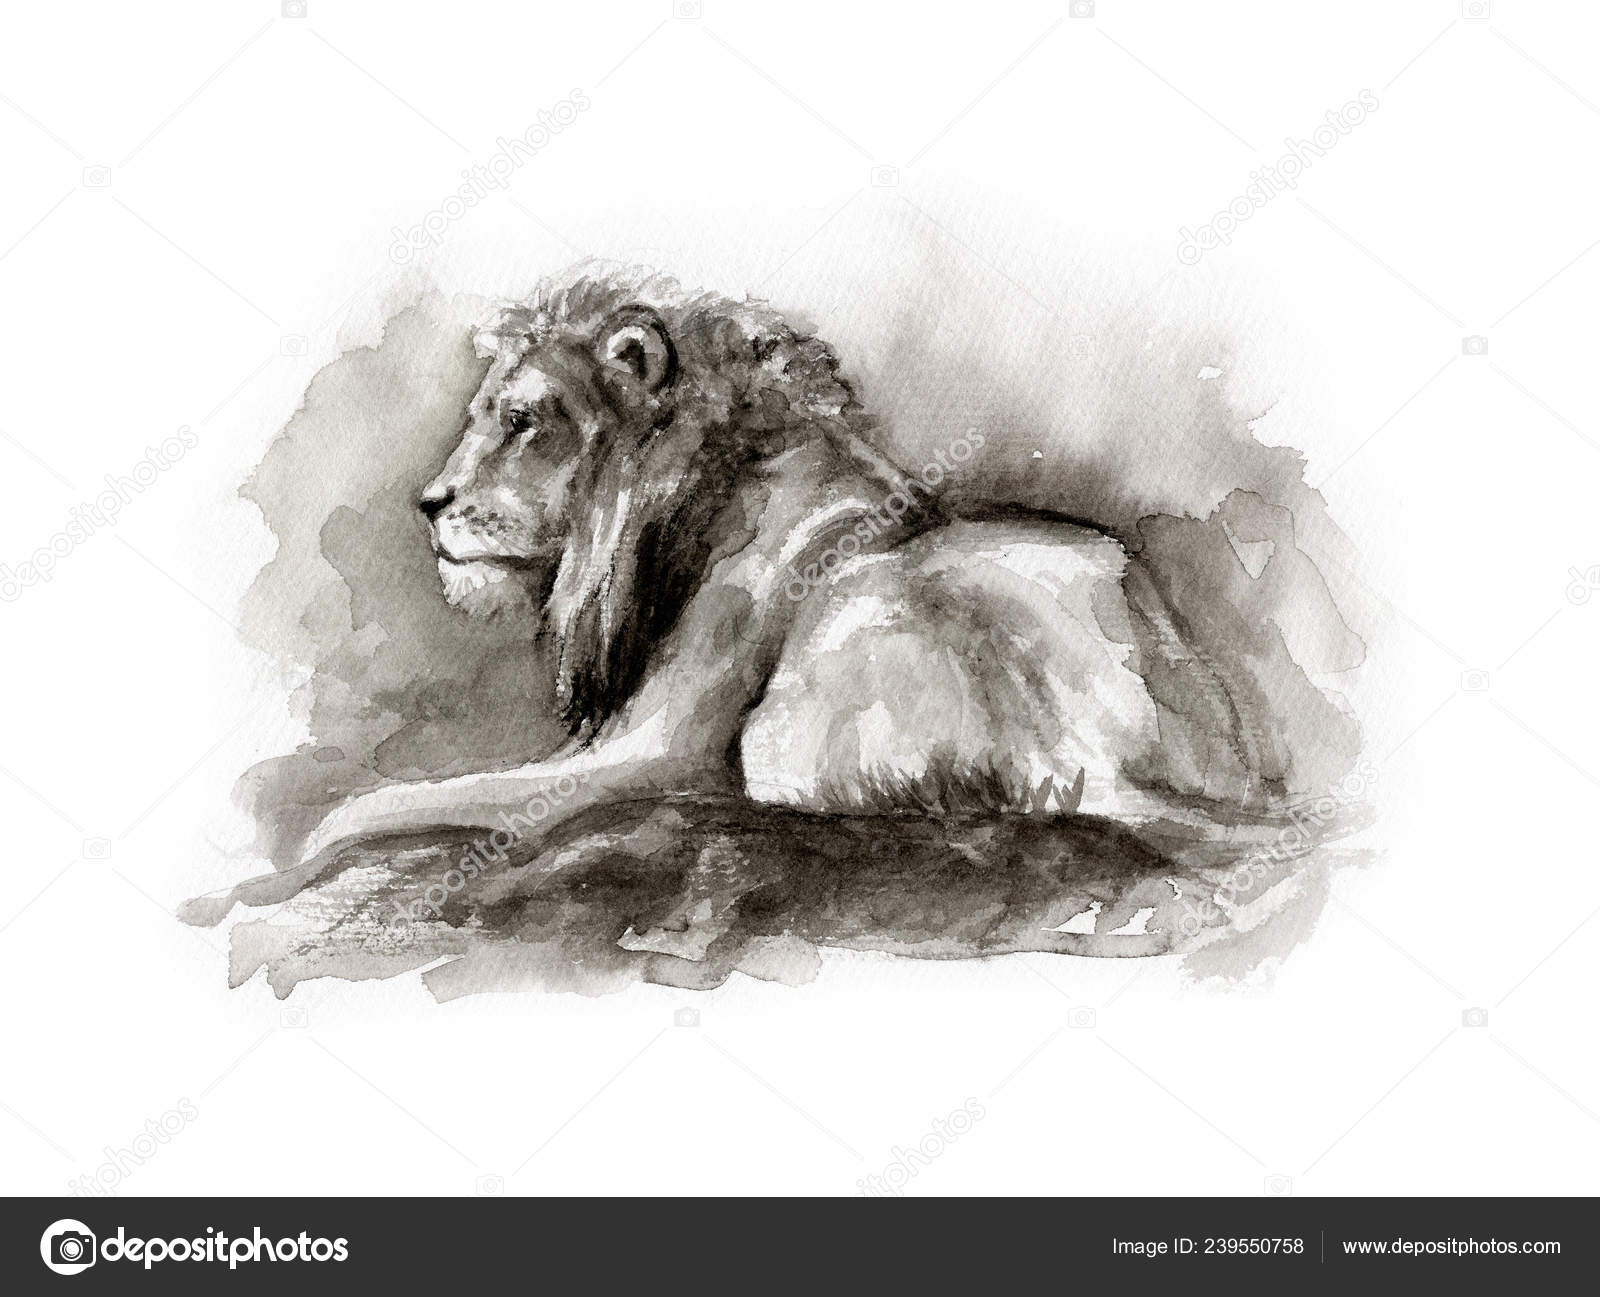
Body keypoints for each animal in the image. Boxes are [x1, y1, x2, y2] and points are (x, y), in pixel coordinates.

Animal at [187, 261, 1330, 924]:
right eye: (487, 415)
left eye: (519, 419)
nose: (428, 504)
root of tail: (1101, 753)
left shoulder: (660, 750)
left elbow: (412, 798)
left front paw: (291, 855)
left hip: (783, 725)